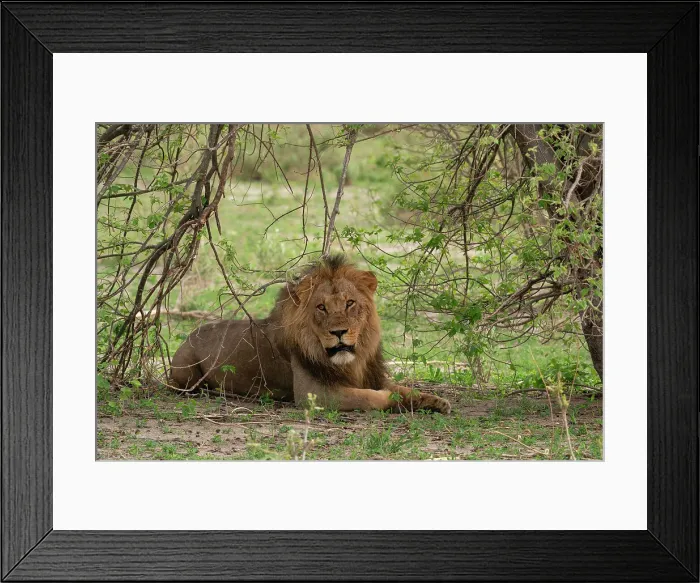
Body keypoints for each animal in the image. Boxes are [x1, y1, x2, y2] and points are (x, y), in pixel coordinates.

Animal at [169, 254, 451, 414]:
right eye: (321, 307)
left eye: (350, 303)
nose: (339, 332)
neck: (352, 362)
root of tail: (190, 334)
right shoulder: (313, 394)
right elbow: (370, 397)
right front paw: (395, 400)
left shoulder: (370, 375)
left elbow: (404, 388)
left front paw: (434, 401)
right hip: (186, 373)